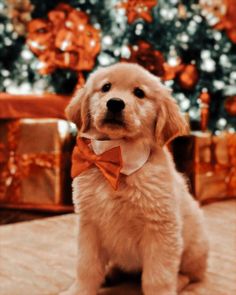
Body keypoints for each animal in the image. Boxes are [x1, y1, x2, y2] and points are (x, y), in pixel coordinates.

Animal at [61, 63, 208, 295]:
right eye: (106, 87)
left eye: (139, 92)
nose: (114, 103)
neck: (117, 155)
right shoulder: (89, 225)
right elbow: (86, 267)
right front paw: (79, 291)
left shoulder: (161, 230)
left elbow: (157, 277)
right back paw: (110, 274)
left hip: (194, 247)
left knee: (191, 275)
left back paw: (179, 282)